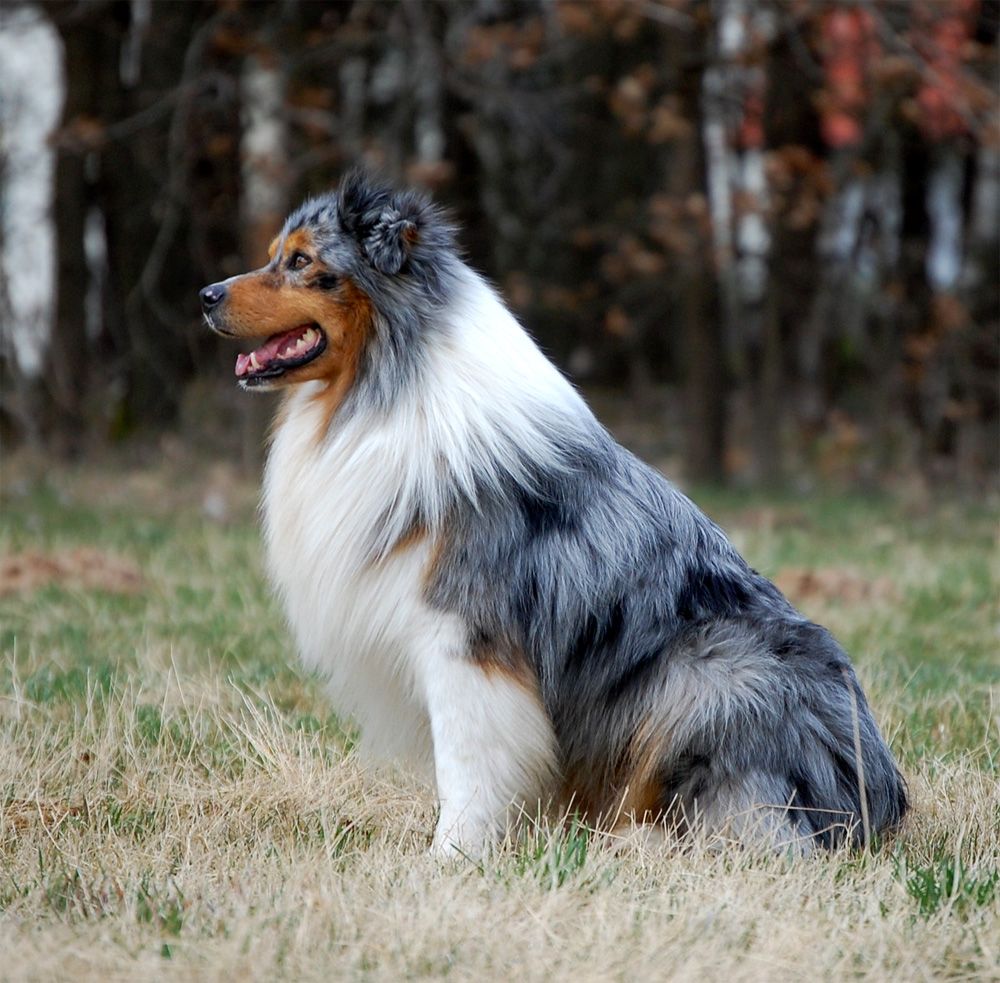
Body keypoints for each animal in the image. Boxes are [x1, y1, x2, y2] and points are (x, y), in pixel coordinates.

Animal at [201, 173, 908, 856]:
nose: (206, 294)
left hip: (712, 675)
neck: (383, 382)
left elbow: (466, 764)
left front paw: (450, 858)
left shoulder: (465, 639)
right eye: (274, 255)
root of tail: (879, 804)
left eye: (301, 262)